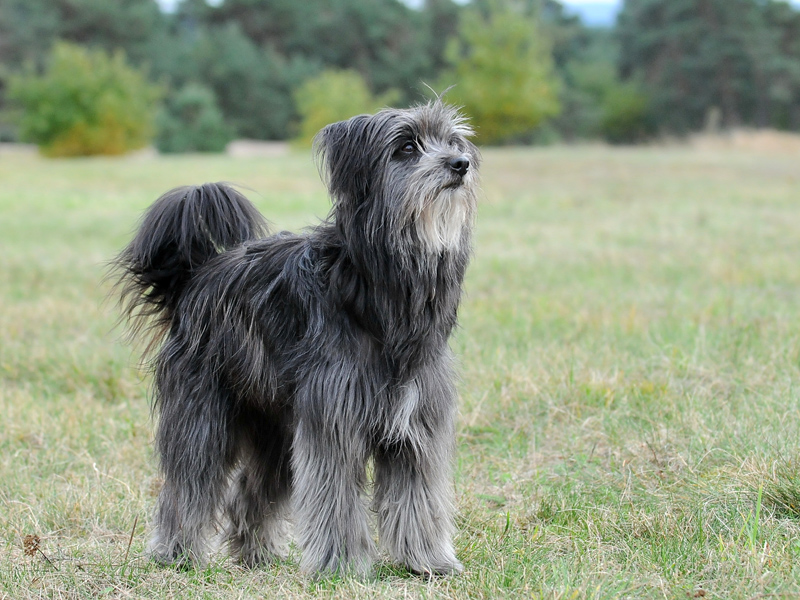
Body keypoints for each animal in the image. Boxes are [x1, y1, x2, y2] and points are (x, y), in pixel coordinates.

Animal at [112, 102, 482, 576]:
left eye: (452, 141)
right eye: (406, 147)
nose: (461, 164)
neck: (377, 287)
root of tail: (195, 277)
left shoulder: (416, 423)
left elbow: (417, 498)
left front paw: (428, 561)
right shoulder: (332, 419)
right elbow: (335, 498)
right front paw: (342, 566)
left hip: (274, 424)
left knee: (250, 493)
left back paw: (257, 554)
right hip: (203, 415)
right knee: (188, 484)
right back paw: (177, 553)